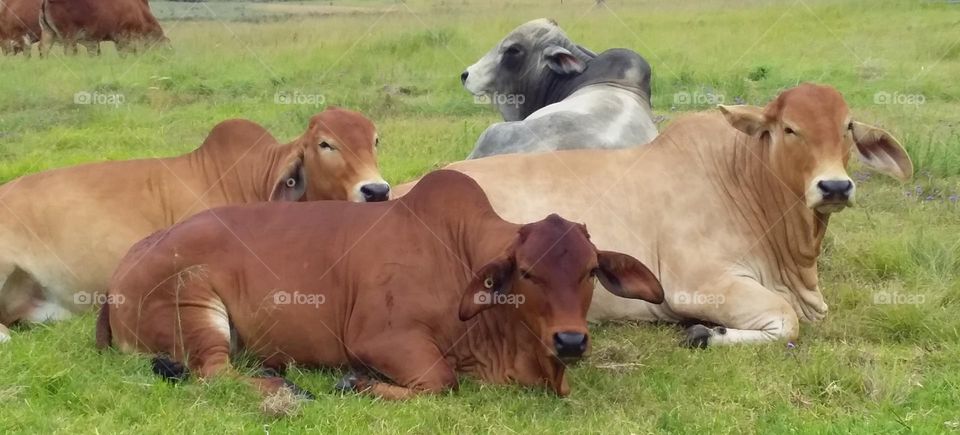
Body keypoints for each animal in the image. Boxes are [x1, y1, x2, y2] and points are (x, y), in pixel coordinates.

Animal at [38, 0, 169, 57]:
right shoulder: (123, 38)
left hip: (48, 32)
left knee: (43, 49)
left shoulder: (93, 42)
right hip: (69, 36)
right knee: (70, 52)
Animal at [96, 170, 664, 400]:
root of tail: (121, 269)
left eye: (589, 271)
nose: (570, 340)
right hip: (193, 305)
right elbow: (442, 381)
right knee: (213, 374)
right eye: (527, 271)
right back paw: (288, 389)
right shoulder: (379, 338)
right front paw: (357, 383)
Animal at [396, 84, 914, 347]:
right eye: (789, 129)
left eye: (847, 127)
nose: (835, 187)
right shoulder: (697, 284)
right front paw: (707, 333)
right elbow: (787, 322)